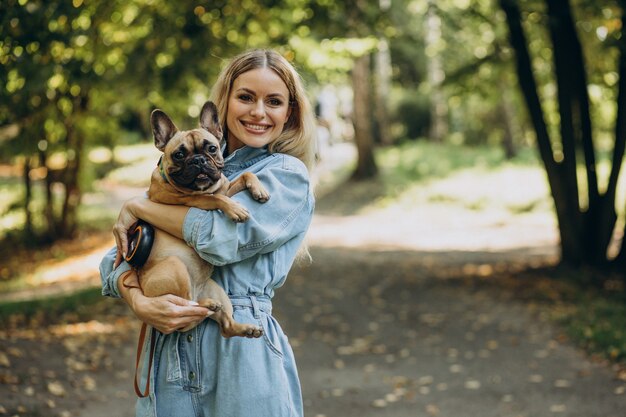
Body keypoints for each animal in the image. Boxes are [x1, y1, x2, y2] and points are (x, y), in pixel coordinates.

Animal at [133, 101, 264, 338]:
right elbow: (216, 199)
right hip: (176, 269)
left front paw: (258, 188)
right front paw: (235, 209)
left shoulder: (225, 186)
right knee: (184, 307)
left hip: (218, 292)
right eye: (179, 154)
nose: (199, 159)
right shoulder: (190, 200)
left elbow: (244, 176)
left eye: (211, 148)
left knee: (225, 327)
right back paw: (206, 305)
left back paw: (245, 328)